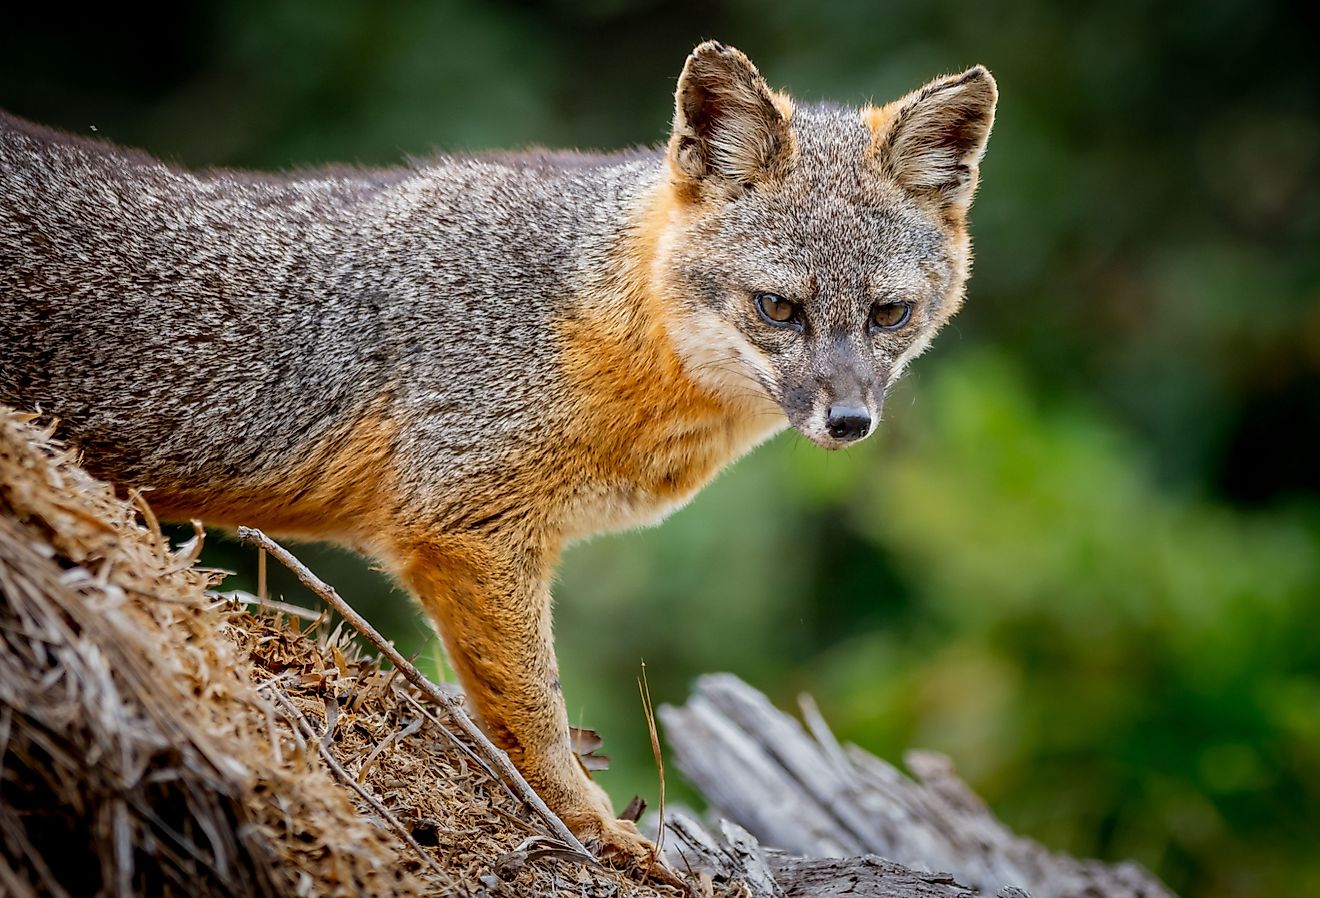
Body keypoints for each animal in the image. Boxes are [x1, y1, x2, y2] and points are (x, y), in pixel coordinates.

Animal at [0, 42, 992, 871]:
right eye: (779, 308)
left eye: (889, 314)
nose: (850, 421)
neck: (595, 319)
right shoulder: (468, 528)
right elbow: (534, 710)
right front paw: (585, 822)